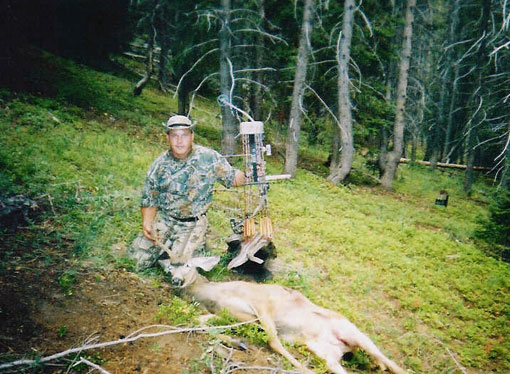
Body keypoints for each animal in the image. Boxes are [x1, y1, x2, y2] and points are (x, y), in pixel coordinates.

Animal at [167, 256, 406, 374]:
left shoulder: (262, 304)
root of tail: (343, 347)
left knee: (391, 362)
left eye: (188, 264)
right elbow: (199, 321)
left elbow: (274, 341)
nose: (176, 280)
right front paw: (237, 342)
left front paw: (303, 368)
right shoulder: (236, 316)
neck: (215, 293)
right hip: (327, 355)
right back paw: (376, 366)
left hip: (353, 331)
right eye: (170, 267)